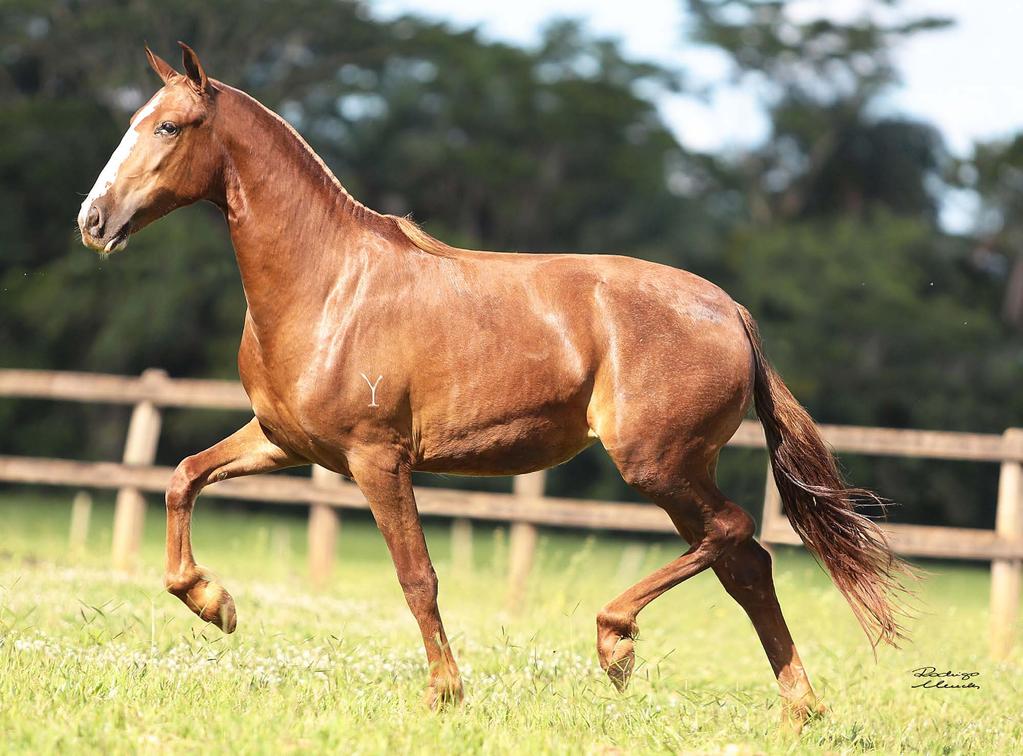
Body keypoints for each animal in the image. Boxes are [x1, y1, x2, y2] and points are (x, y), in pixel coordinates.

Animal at [81, 44, 912, 728]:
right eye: (134, 122)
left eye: (169, 127)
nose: (93, 220)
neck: (328, 285)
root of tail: (730, 311)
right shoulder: (285, 444)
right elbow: (181, 478)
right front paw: (214, 604)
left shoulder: (376, 459)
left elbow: (417, 577)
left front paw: (444, 695)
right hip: (676, 473)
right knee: (747, 564)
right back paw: (798, 709)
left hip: (657, 464)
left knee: (734, 534)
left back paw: (616, 642)